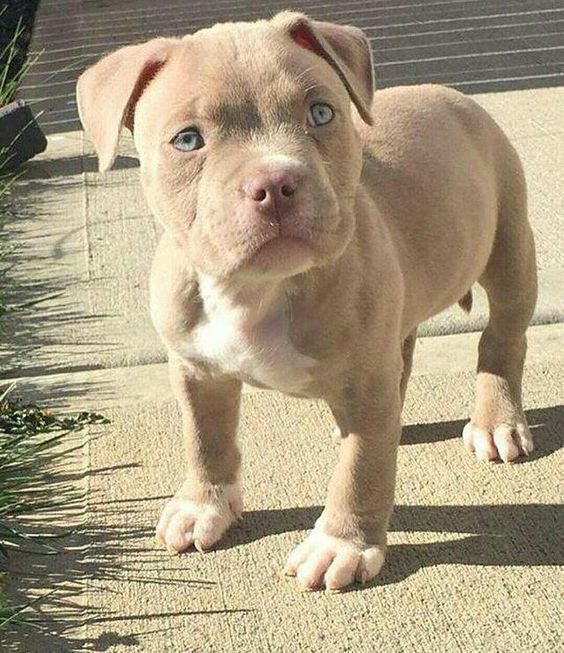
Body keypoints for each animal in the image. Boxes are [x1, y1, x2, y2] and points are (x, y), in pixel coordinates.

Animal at [76, 11, 536, 592]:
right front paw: (204, 505)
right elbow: (204, 439)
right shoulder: (196, 370)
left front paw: (342, 545)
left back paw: (496, 421)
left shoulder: (366, 385)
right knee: (404, 351)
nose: (275, 182)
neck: (255, 288)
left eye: (320, 112)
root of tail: (450, 92)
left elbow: (361, 471)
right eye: (187, 139)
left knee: (502, 337)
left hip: (510, 243)